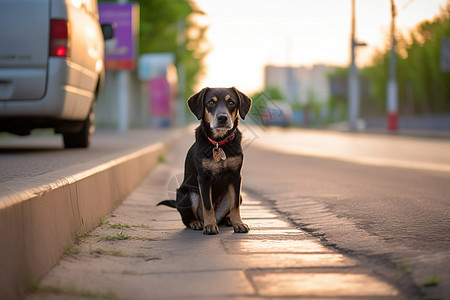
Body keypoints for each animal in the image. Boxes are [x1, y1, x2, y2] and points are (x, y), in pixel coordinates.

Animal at [157, 86, 250, 234]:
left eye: (231, 103)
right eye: (211, 102)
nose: (222, 118)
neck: (219, 143)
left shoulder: (236, 177)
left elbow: (235, 205)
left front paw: (239, 224)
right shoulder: (204, 178)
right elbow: (207, 205)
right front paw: (210, 226)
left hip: (237, 195)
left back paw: (228, 220)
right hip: (189, 194)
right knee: (187, 219)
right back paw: (197, 223)